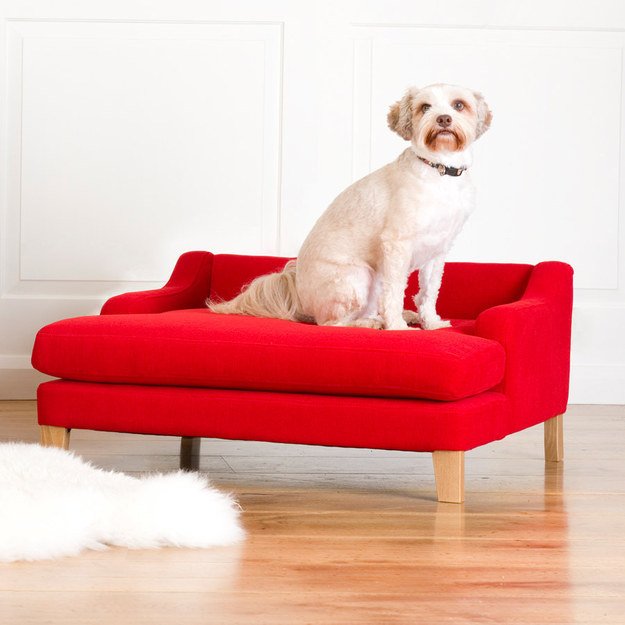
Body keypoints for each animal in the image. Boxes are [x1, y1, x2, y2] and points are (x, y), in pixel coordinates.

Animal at [210, 83, 492, 332]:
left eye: (459, 105)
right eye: (425, 107)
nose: (443, 119)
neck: (439, 171)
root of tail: (299, 295)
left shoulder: (438, 250)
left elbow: (429, 292)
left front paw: (431, 322)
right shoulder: (396, 245)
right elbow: (395, 291)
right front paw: (397, 327)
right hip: (358, 277)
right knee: (332, 322)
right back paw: (373, 323)